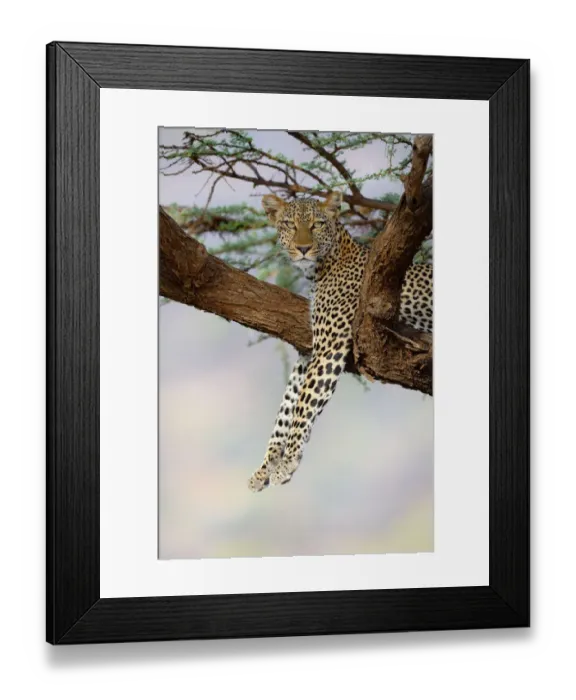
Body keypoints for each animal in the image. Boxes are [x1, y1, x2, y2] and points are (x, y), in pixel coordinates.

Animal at [247, 190, 433, 493]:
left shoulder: (328, 347)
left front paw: (287, 463)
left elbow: (303, 405)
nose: (303, 249)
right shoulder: (310, 351)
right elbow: (286, 407)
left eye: (317, 225)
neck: (322, 267)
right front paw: (265, 467)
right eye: (289, 224)